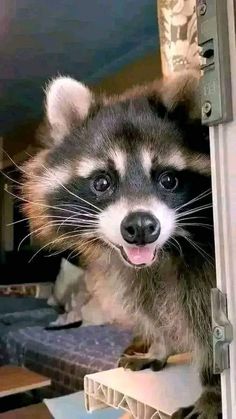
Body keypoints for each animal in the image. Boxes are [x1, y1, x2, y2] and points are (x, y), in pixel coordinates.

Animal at [21, 74, 219, 418]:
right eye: (102, 182)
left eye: (169, 180)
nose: (140, 227)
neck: (164, 255)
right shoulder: (137, 275)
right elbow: (154, 309)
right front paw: (161, 345)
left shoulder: (205, 269)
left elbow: (209, 326)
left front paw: (214, 388)